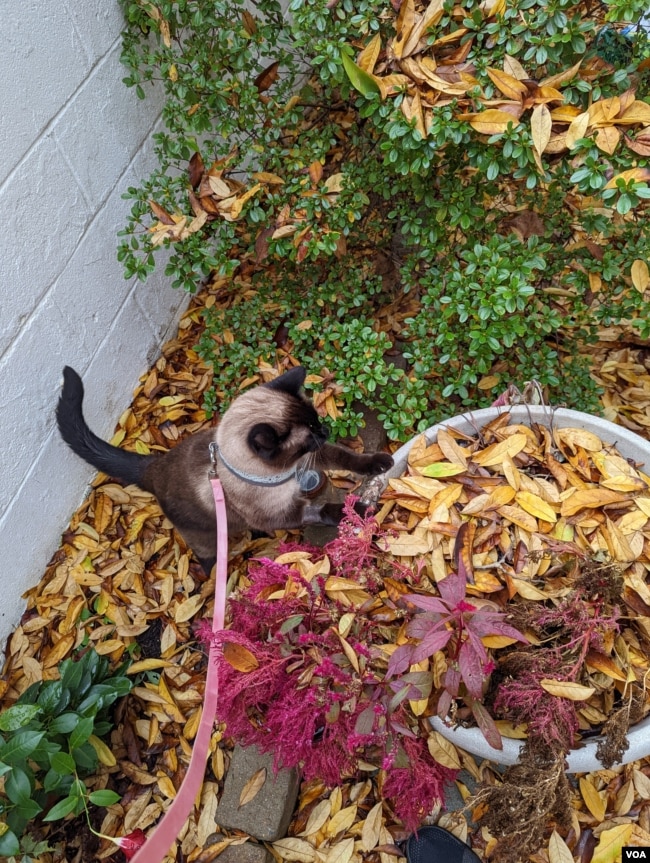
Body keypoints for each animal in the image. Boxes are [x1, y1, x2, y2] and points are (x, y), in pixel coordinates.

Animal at [57, 364, 390, 572]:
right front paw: (359, 509)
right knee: (207, 560)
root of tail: (153, 466)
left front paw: (381, 463)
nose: (326, 431)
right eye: (310, 434)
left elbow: (345, 457)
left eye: (317, 421)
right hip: (207, 540)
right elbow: (320, 510)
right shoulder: (282, 514)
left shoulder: (312, 460)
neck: (283, 474)